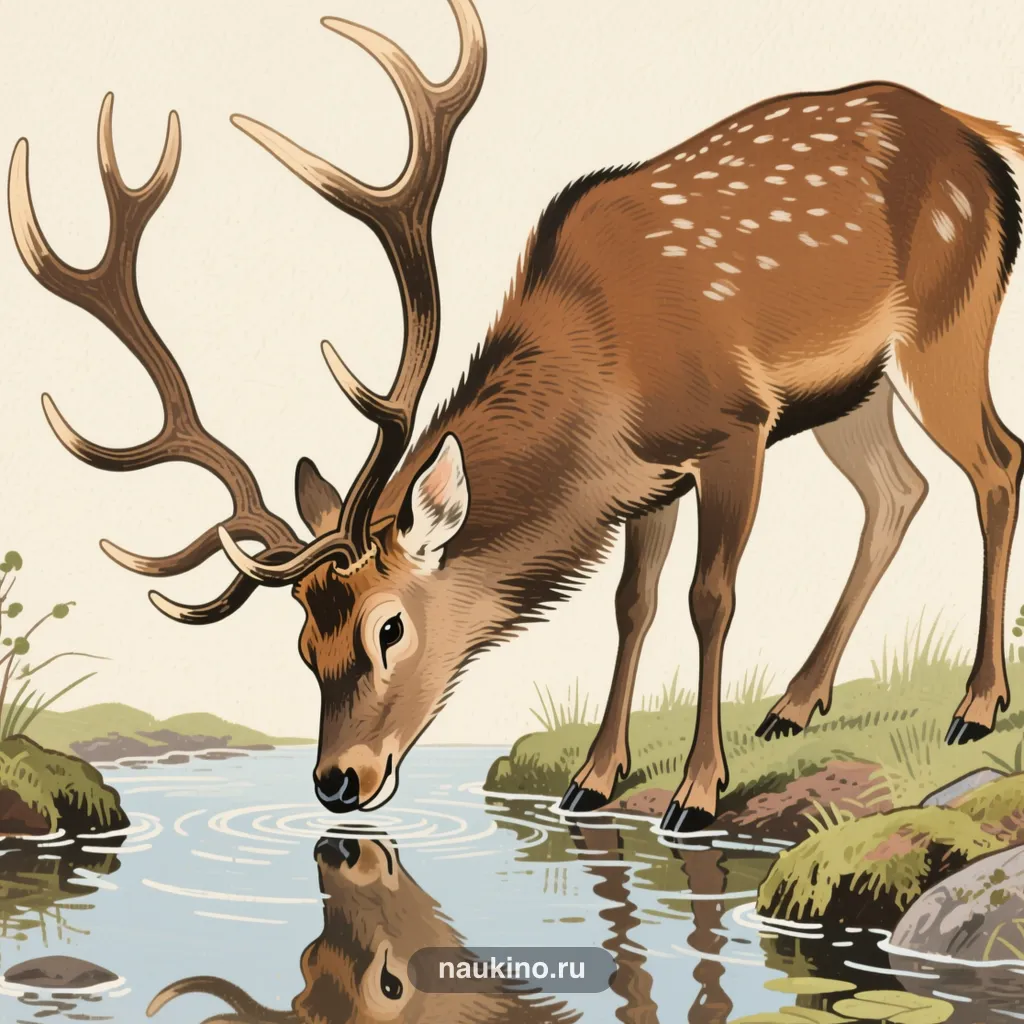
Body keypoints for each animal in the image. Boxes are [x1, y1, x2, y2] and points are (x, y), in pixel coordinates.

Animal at [8, 0, 1024, 835]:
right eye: (303, 643)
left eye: (389, 627)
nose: (336, 782)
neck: (607, 384)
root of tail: (976, 135)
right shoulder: (652, 480)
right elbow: (631, 605)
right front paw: (592, 780)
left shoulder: (735, 427)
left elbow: (711, 599)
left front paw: (696, 795)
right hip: (855, 389)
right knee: (899, 490)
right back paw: (795, 704)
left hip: (948, 319)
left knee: (995, 462)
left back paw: (975, 705)